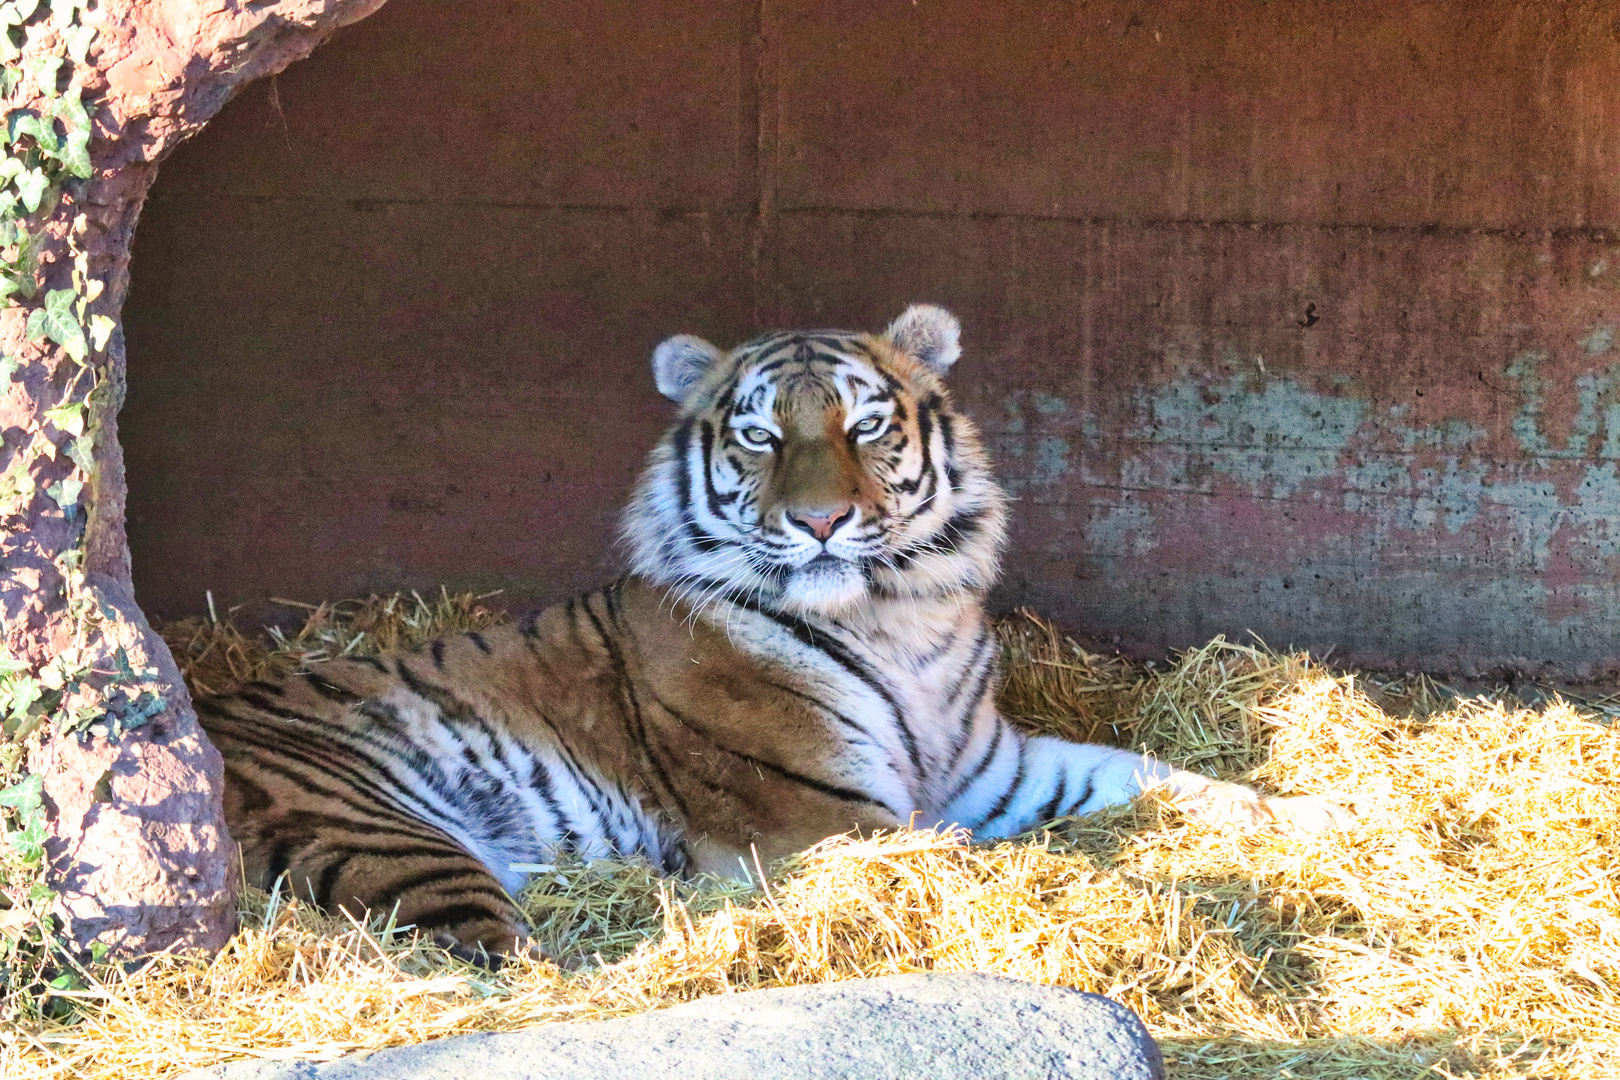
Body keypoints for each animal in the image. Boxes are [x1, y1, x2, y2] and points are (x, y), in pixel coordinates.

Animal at [196, 304, 1347, 965]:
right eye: (757, 435)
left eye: (865, 425)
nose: (822, 521)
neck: (899, 617)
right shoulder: (824, 815)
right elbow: (993, 859)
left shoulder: (993, 770)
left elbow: (1166, 782)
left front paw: (1326, 817)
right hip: (391, 835)